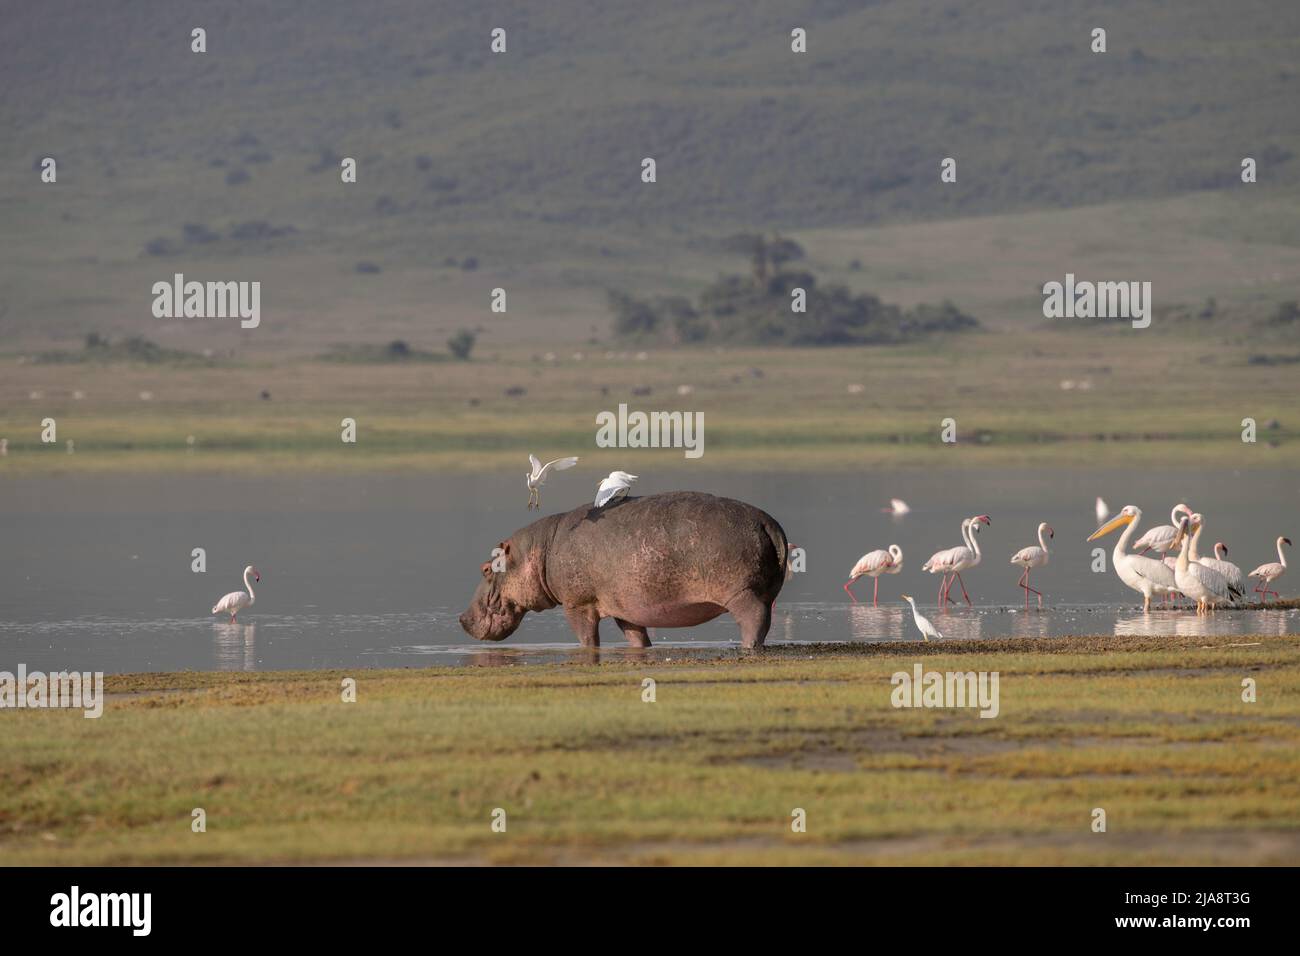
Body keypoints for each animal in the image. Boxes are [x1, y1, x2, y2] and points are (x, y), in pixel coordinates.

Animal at [460, 494, 790, 650]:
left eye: (486, 568)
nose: (462, 618)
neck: (539, 549)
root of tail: (767, 521)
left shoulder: (577, 605)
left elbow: (586, 638)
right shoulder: (625, 609)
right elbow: (635, 636)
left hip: (740, 592)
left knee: (753, 618)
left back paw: (749, 646)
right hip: (765, 589)